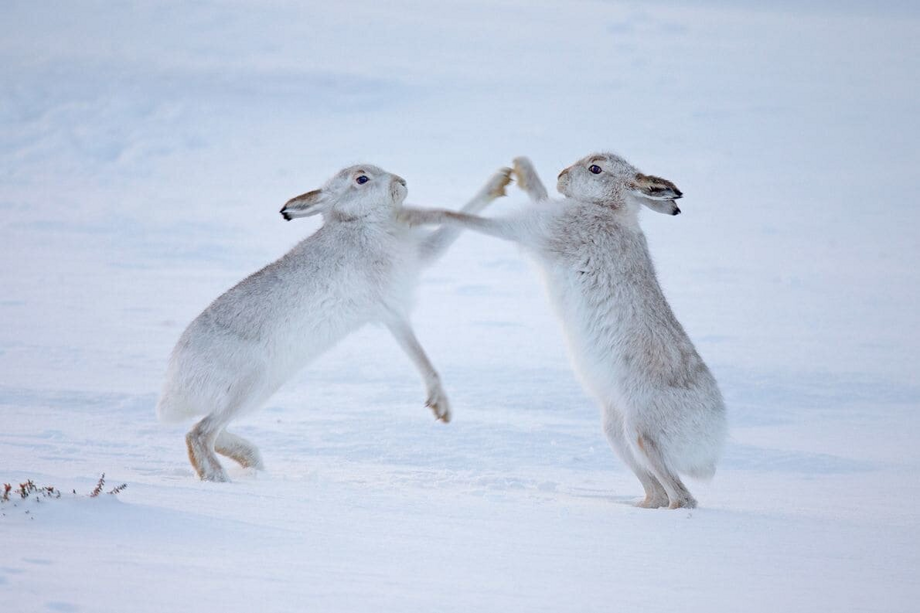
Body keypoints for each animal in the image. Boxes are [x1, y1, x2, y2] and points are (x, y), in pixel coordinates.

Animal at [156, 164, 513, 482]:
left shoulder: (415, 257)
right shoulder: (391, 308)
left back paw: (252, 462)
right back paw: (219, 478)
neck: (358, 221)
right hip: (250, 383)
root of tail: (175, 384)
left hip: (265, 387)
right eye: (362, 179)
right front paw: (441, 405)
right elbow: (420, 355)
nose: (402, 182)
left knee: (212, 429)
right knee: (199, 433)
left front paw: (500, 182)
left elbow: (452, 229)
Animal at [399, 154, 726, 509]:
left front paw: (410, 214)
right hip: (615, 433)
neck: (608, 207)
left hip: (641, 432)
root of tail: (709, 446)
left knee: (681, 496)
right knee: (656, 491)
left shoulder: (543, 229)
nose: (561, 176)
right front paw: (522, 169)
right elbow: (537, 196)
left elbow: (466, 218)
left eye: (596, 168)